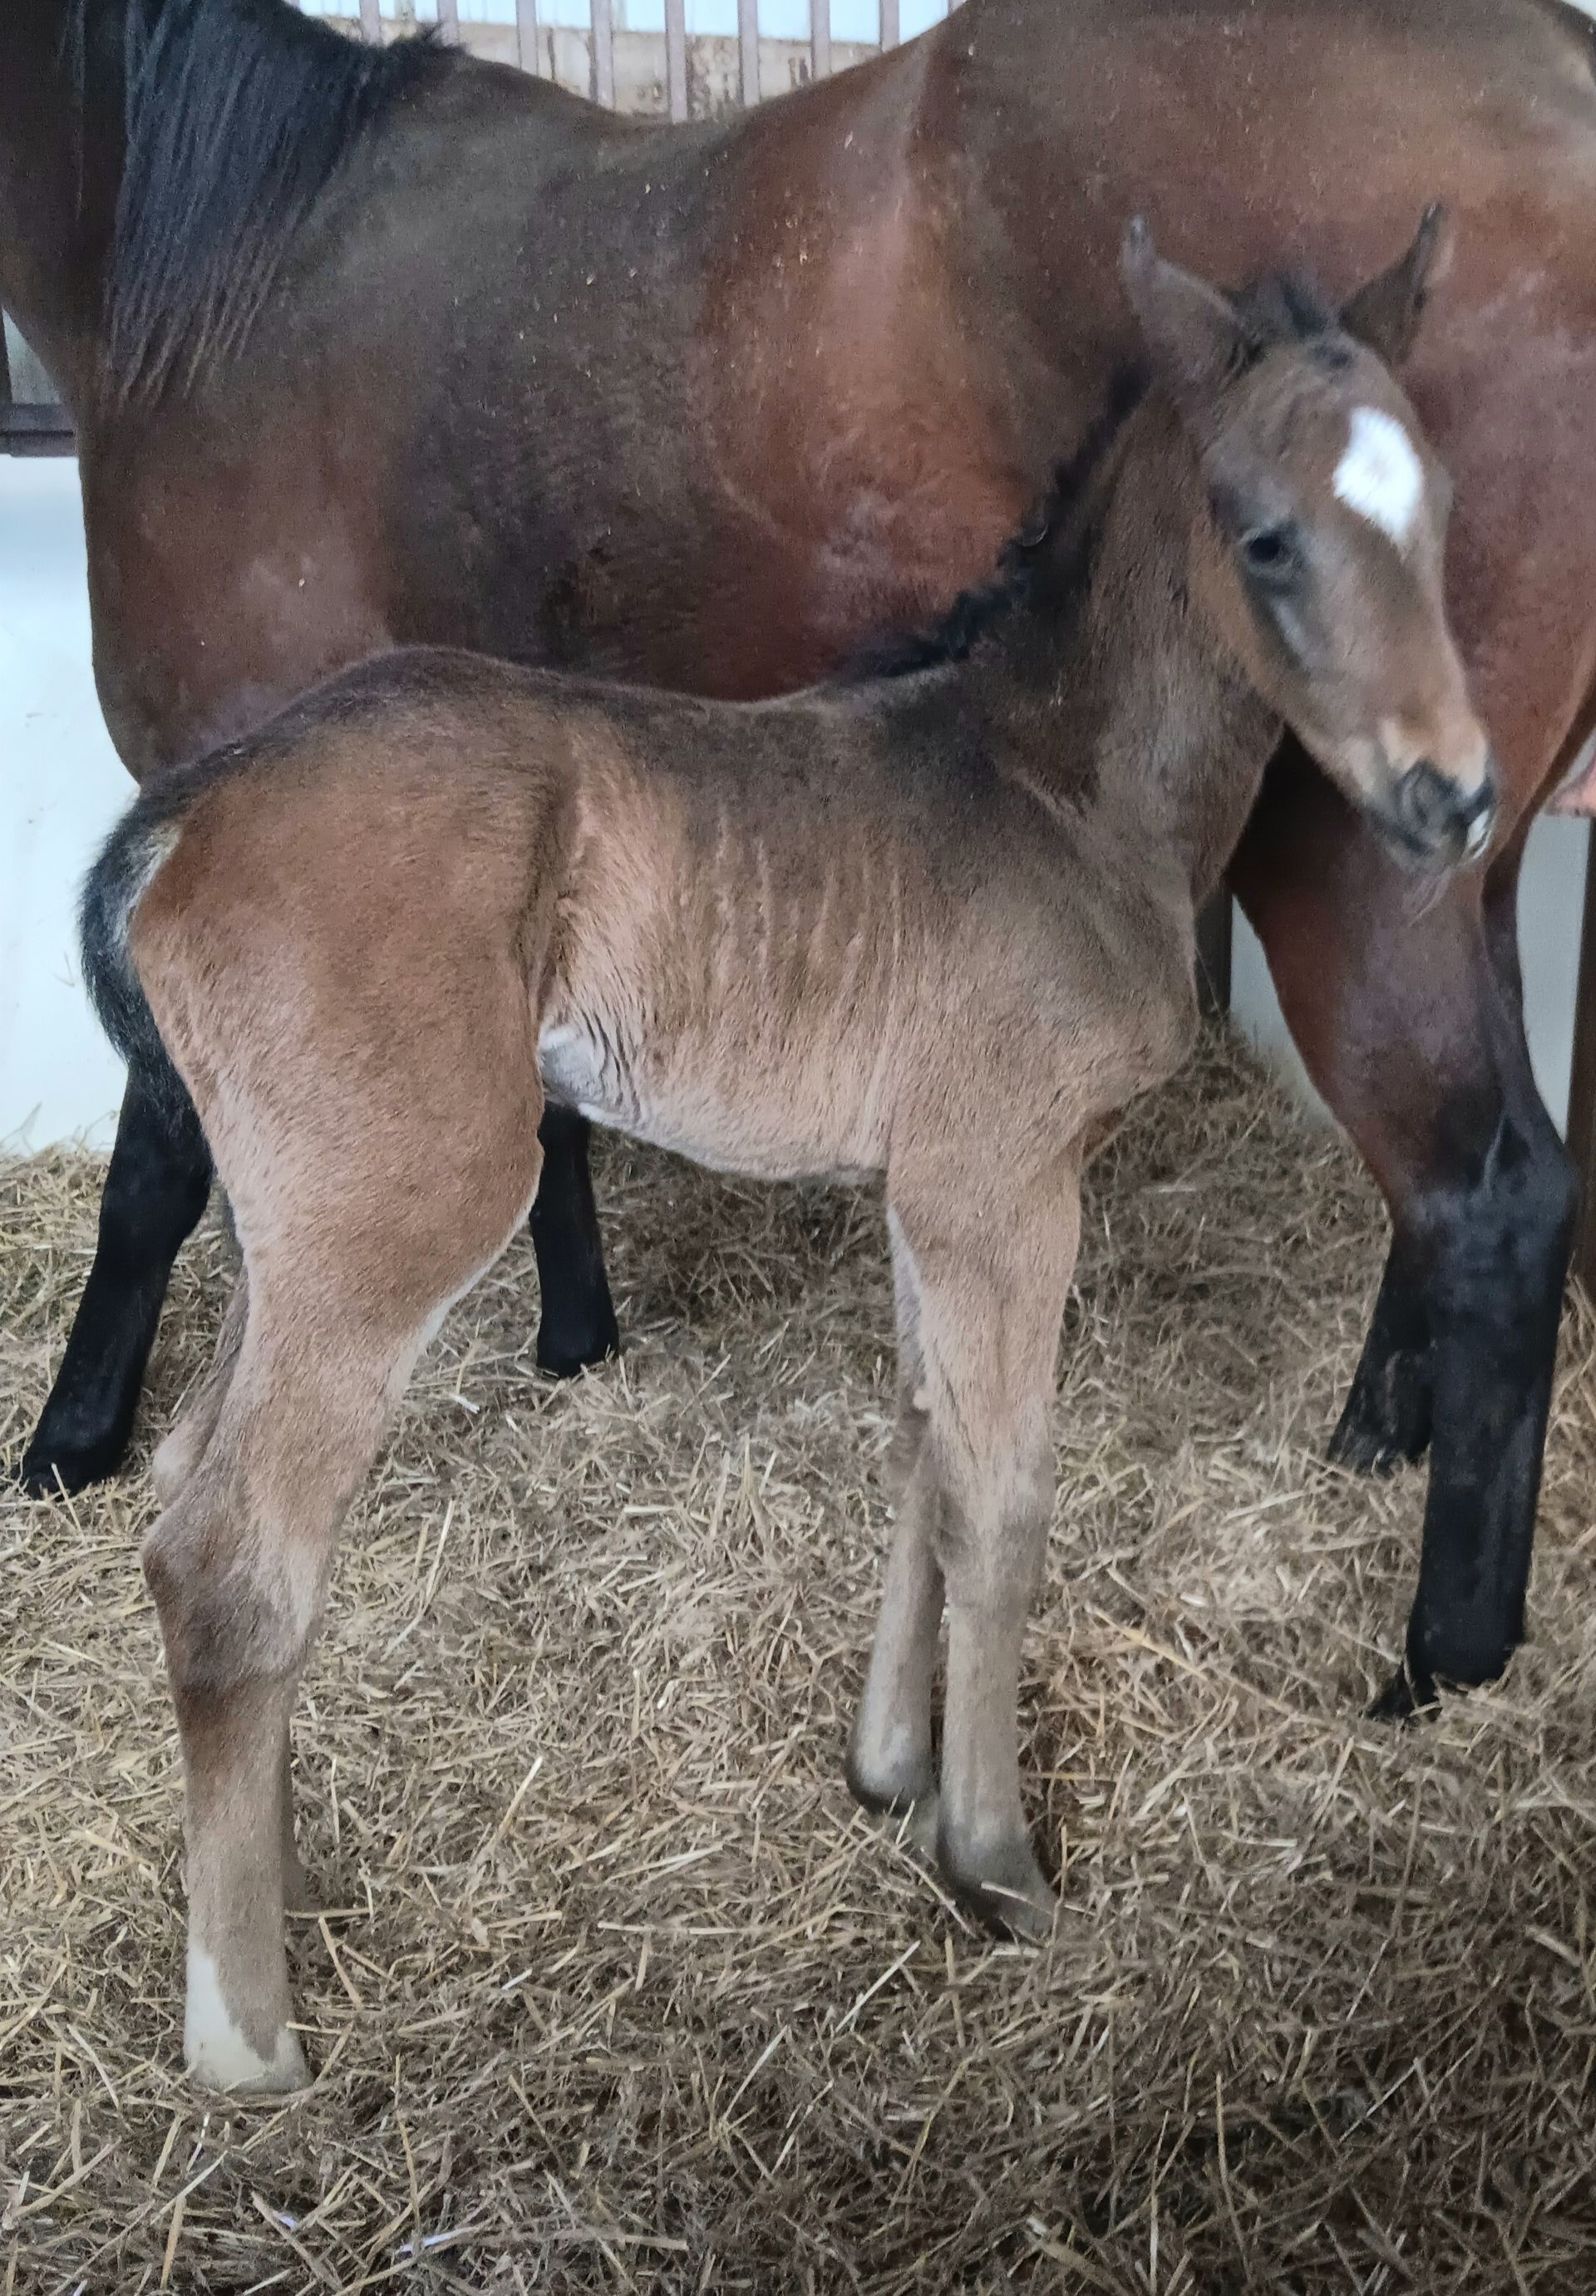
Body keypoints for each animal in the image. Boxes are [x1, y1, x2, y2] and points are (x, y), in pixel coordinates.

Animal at [6, 0, 1596, 1716]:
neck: (227, 265)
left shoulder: (223, 748)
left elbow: (159, 1164)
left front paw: (68, 1439)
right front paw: (578, 1332)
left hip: (1370, 870)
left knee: (1493, 1194)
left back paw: (1443, 1660)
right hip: (1467, 862)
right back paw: (1377, 1436)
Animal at [79, 221, 1490, 2090]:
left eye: (1444, 516)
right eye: (1264, 532)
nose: (1457, 798)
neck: (1057, 789)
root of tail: (190, 809)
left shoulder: (927, 1191)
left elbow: (926, 1448)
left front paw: (890, 1772)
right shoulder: (1004, 1189)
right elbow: (1006, 1497)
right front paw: (997, 1859)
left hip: (283, 1233)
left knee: (188, 1501)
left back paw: (274, 1890)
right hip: (397, 1224)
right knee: (233, 1564)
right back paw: (249, 2039)